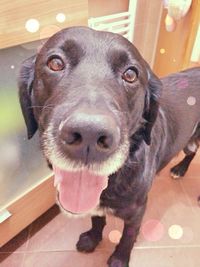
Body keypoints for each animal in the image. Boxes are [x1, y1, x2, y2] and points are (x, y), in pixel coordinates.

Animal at [18, 26, 200, 267]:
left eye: (131, 74)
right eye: (55, 63)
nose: (89, 134)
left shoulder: (137, 210)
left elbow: (127, 237)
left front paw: (119, 259)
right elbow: (97, 220)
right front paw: (92, 239)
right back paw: (180, 169)